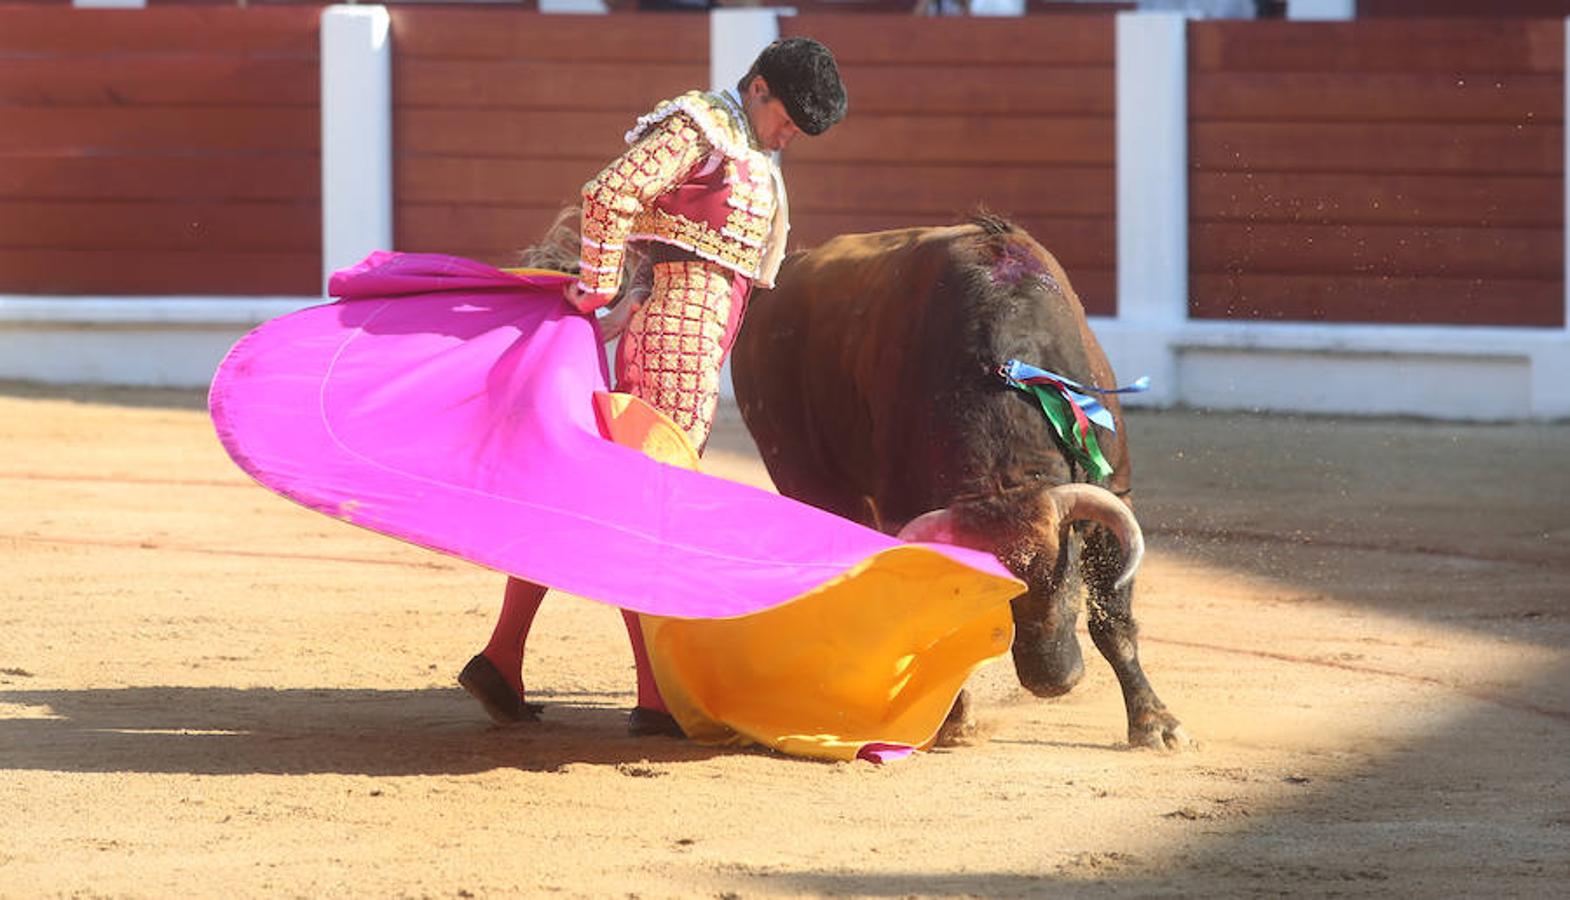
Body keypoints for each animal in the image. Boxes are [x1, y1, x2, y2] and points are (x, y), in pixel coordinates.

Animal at [734, 213, 1186, 747]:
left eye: (1068, 567)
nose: (1052, 683)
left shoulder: (1115, 494)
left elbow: (1113, 622)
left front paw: (1155, 724)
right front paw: (953, 721)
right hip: (802, 475)